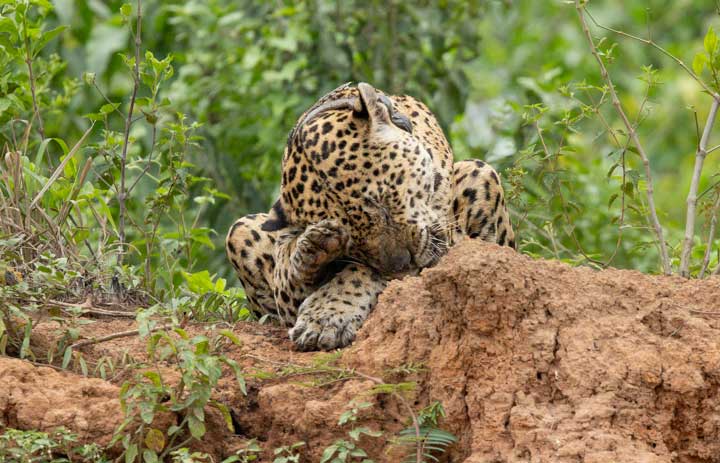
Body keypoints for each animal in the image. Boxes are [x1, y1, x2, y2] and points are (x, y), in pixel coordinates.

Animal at [226, 82, 515, 351]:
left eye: (382, 203)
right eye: (352, 243)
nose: (402, 266)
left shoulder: (442, 242)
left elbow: (360, 273)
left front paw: (327, 316)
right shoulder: (284, 291)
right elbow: (293, 271)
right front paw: (313, 249)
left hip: (480, 173)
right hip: (239, 229)